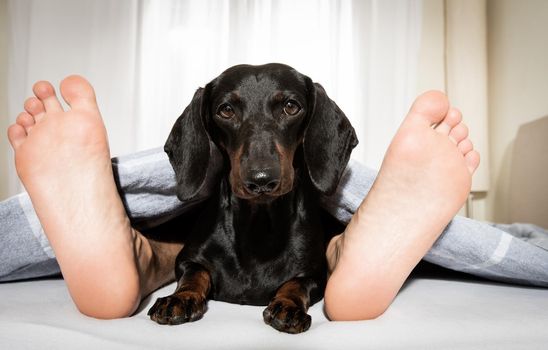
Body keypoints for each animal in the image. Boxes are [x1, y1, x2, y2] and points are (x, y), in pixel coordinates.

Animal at [148, 63, 358, 334]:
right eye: (226, 110)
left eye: (291, 106)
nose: (261, 179)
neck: (259, 226)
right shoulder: (186, 260)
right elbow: (194, 274)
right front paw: (180, 298)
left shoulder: (316, 274)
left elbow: (296, 284)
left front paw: (287, 305)